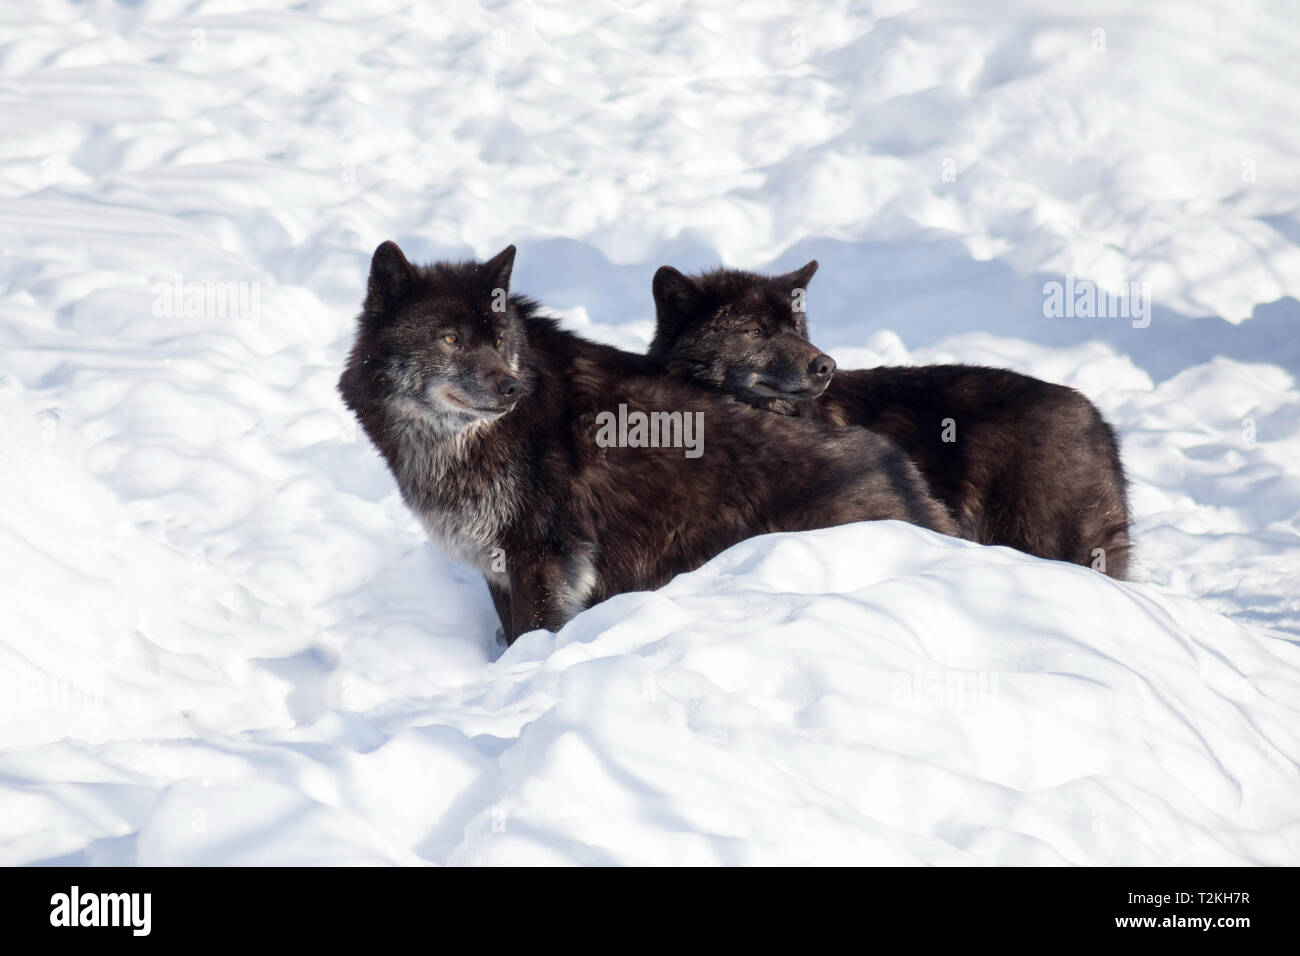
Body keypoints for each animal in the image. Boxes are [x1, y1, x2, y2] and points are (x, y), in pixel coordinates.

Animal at [339, 242, 959, 643]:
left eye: (498, 339)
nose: (511, 387)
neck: (455, 442)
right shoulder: (497, 564)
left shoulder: (544, 556)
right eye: (448, 338)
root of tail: (902, 471)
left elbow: (530, 636)